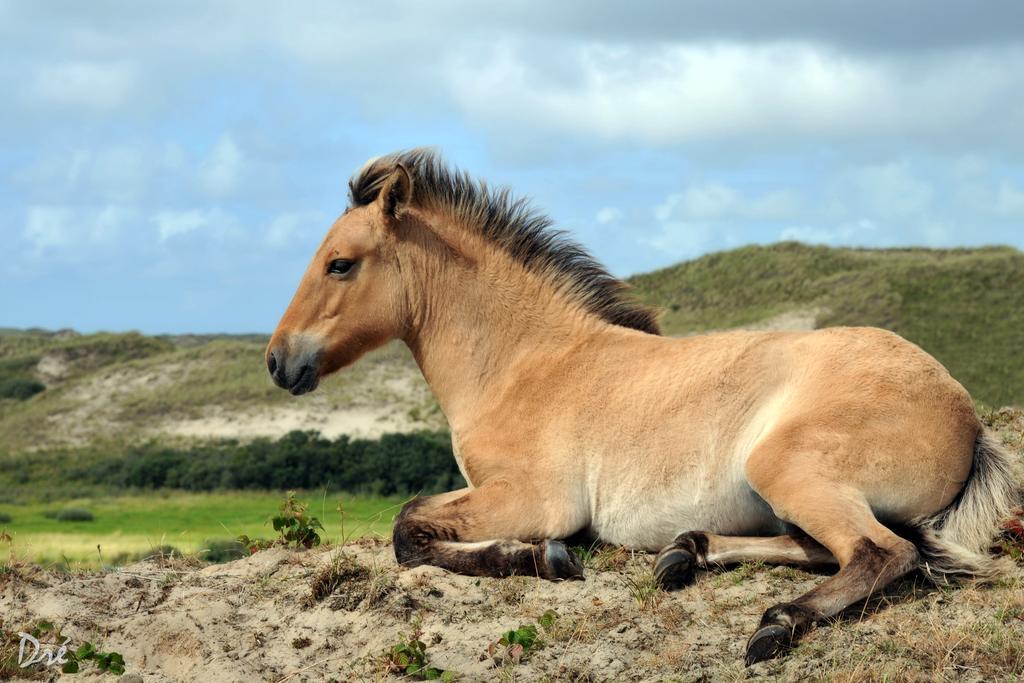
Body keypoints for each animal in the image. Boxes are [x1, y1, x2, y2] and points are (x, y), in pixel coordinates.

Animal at [268, 148, 1019, 663]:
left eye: (340, 263)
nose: (278, 361)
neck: (523, 363)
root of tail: (966, 417)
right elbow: (414, 525)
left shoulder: (535, 497)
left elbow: (409, 529)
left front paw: (545, 558)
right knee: (822, 547)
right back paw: (686, 553)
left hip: (787, 467)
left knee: (880, 552)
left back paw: (774, 623)